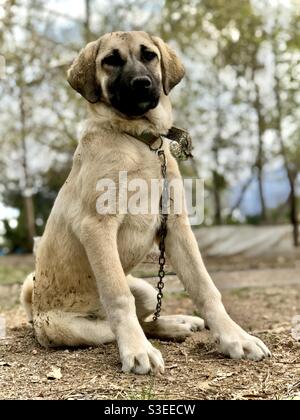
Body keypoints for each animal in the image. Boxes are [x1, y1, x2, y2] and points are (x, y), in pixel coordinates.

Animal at [19, 32, 270, 374]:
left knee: (147, 316)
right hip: (77, 328)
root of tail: (35, 310)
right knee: (119, 323)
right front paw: (137, 351)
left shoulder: (176, 226)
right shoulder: (96, 226)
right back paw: (156, 335)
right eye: (110, 60)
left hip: (148, 290)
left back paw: (178, 324)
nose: (141, 83)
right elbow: (118, 297)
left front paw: (236, 338)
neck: (140, 140)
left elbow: (205, 287)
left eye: (149, 55)